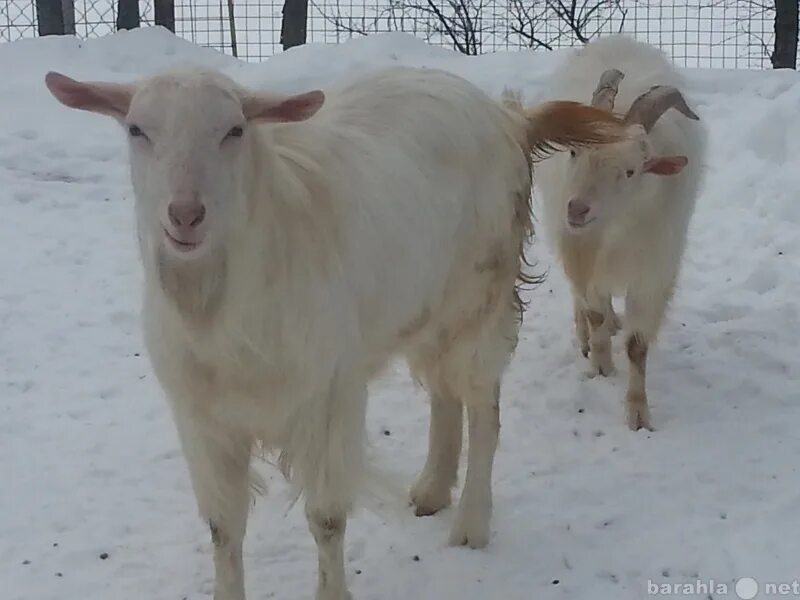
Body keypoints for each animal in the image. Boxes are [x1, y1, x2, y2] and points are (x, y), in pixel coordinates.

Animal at [45, 63, 624, 596]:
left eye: (234, 130)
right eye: (136, 129)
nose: (186, 214)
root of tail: (509, 117)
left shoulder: (328, 399)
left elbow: (325, 519)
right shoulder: (201, 419)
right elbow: (222, 527)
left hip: (480, 297)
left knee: (483, 408)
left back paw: (471, 524)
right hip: (422, 305)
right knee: (443, 392)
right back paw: (431, 490)